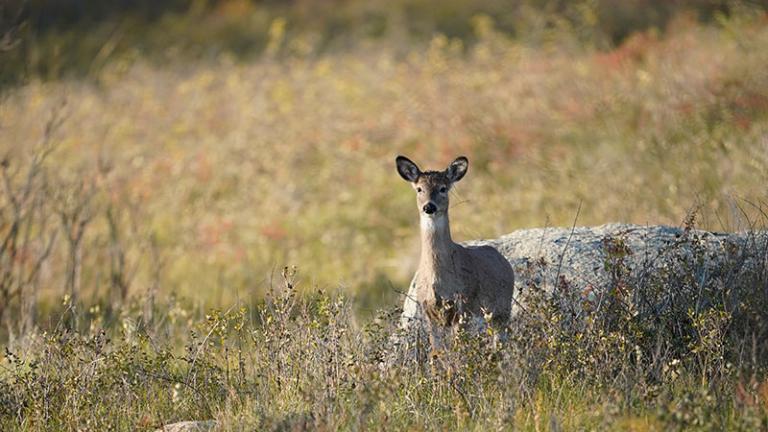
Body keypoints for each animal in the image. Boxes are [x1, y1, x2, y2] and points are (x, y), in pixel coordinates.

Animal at [395, 155, 515, 350]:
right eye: (419, 189)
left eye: (443, 188)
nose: (429, 207)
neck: (439, 279)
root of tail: (503, 260)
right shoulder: (429, 311)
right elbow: (437, 352)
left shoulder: (463, 306)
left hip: (502, 308)